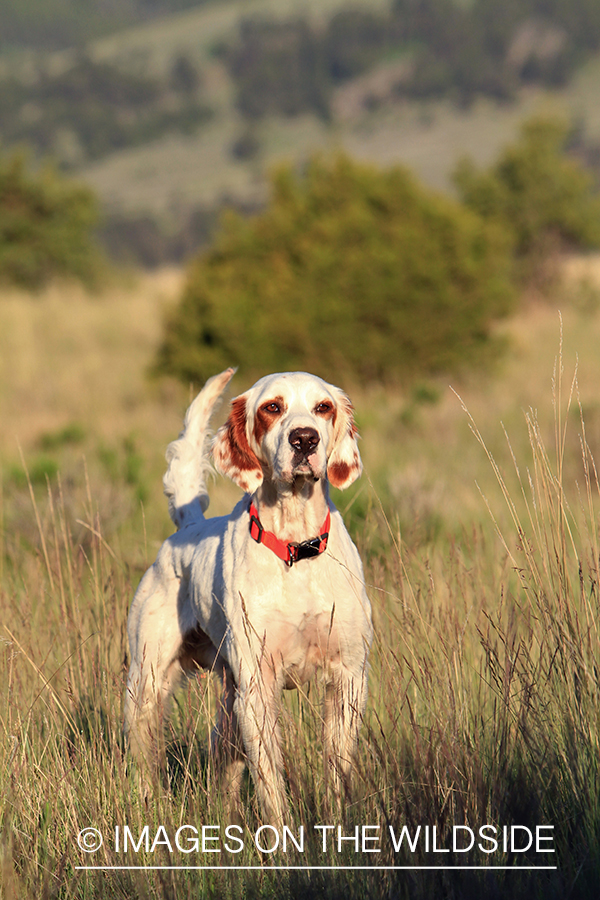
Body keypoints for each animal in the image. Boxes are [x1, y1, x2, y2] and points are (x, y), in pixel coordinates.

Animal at [124, 370, 372, 820]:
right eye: (272, 407)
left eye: (323, 407)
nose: (305, 439)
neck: (295, 548)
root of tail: (188, 526)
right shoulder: (257, 689)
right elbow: (272, 789)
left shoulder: (349, 677)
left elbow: (336, 778)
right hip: (146, 686)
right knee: (145, 767)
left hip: (227, 703)